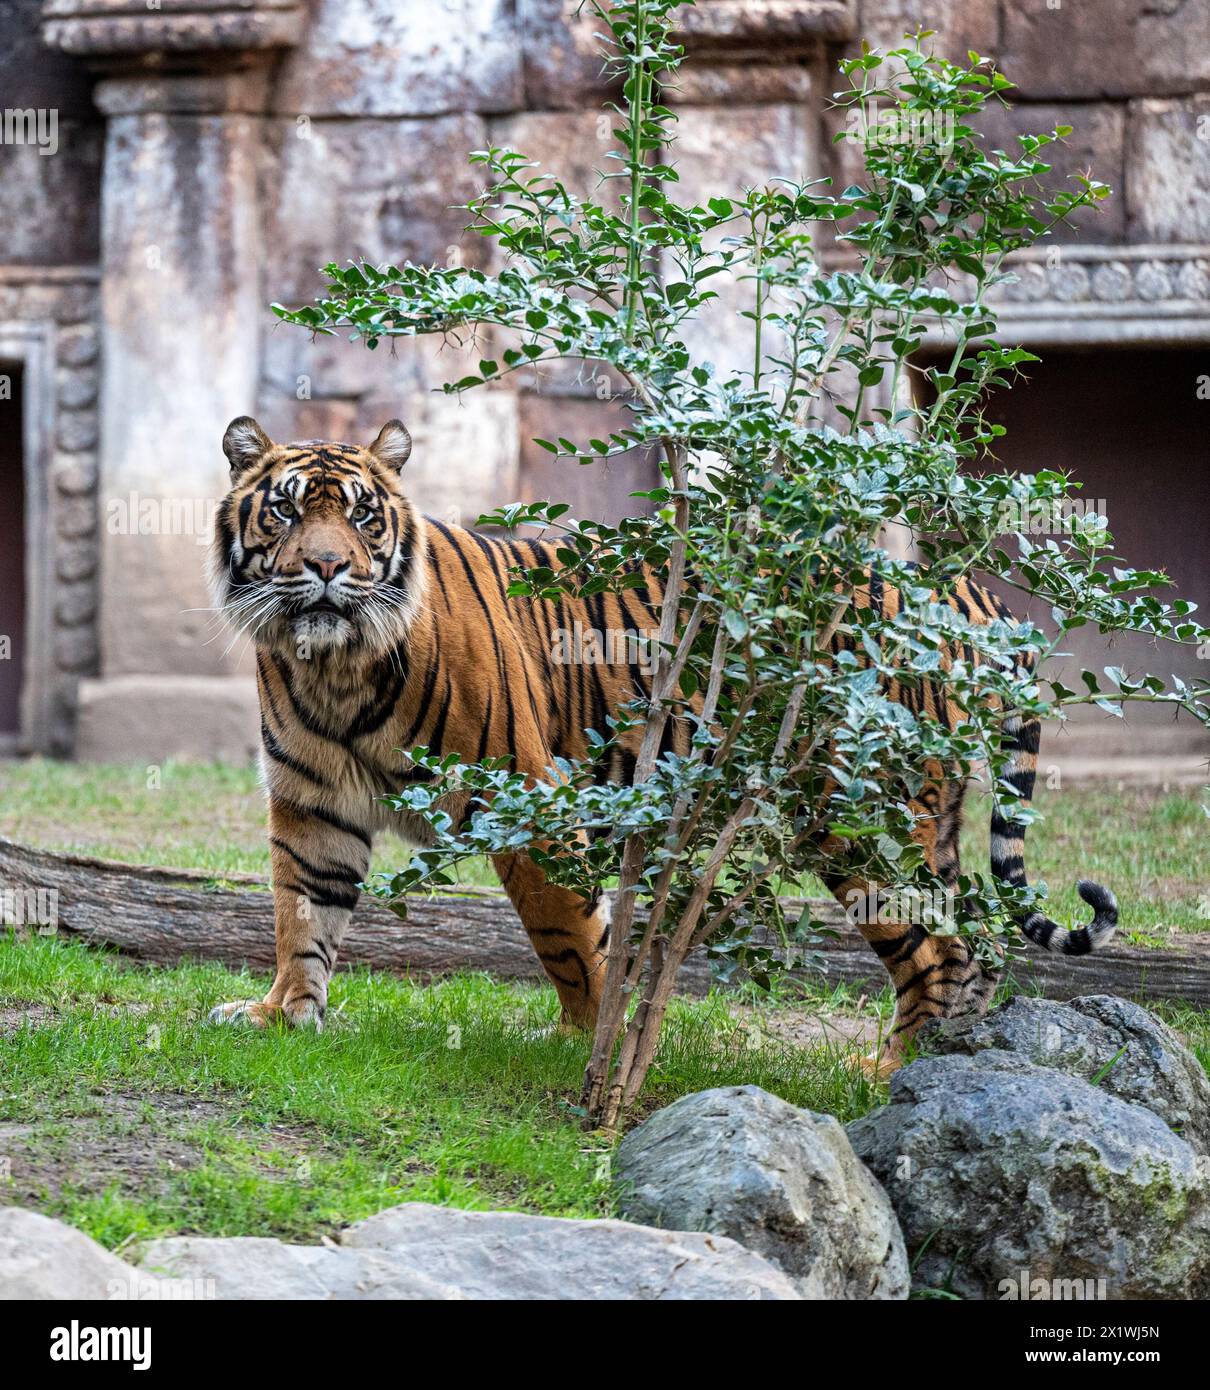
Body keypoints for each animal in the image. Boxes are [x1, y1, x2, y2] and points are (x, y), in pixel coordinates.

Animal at [206, 415, 1118, 1066]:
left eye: (362, 516)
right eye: (286, 508)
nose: (327, 568)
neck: (331, 665)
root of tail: (966, 591)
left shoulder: (526, 800)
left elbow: (568, 938)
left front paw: (584, 1044)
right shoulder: (313, 804)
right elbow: (301, 914)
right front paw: (280, 1015)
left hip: (862, 817)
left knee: (940, 951)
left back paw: (892, 1073)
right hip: (932, 816)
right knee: (978, 944)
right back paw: (955, 1060)